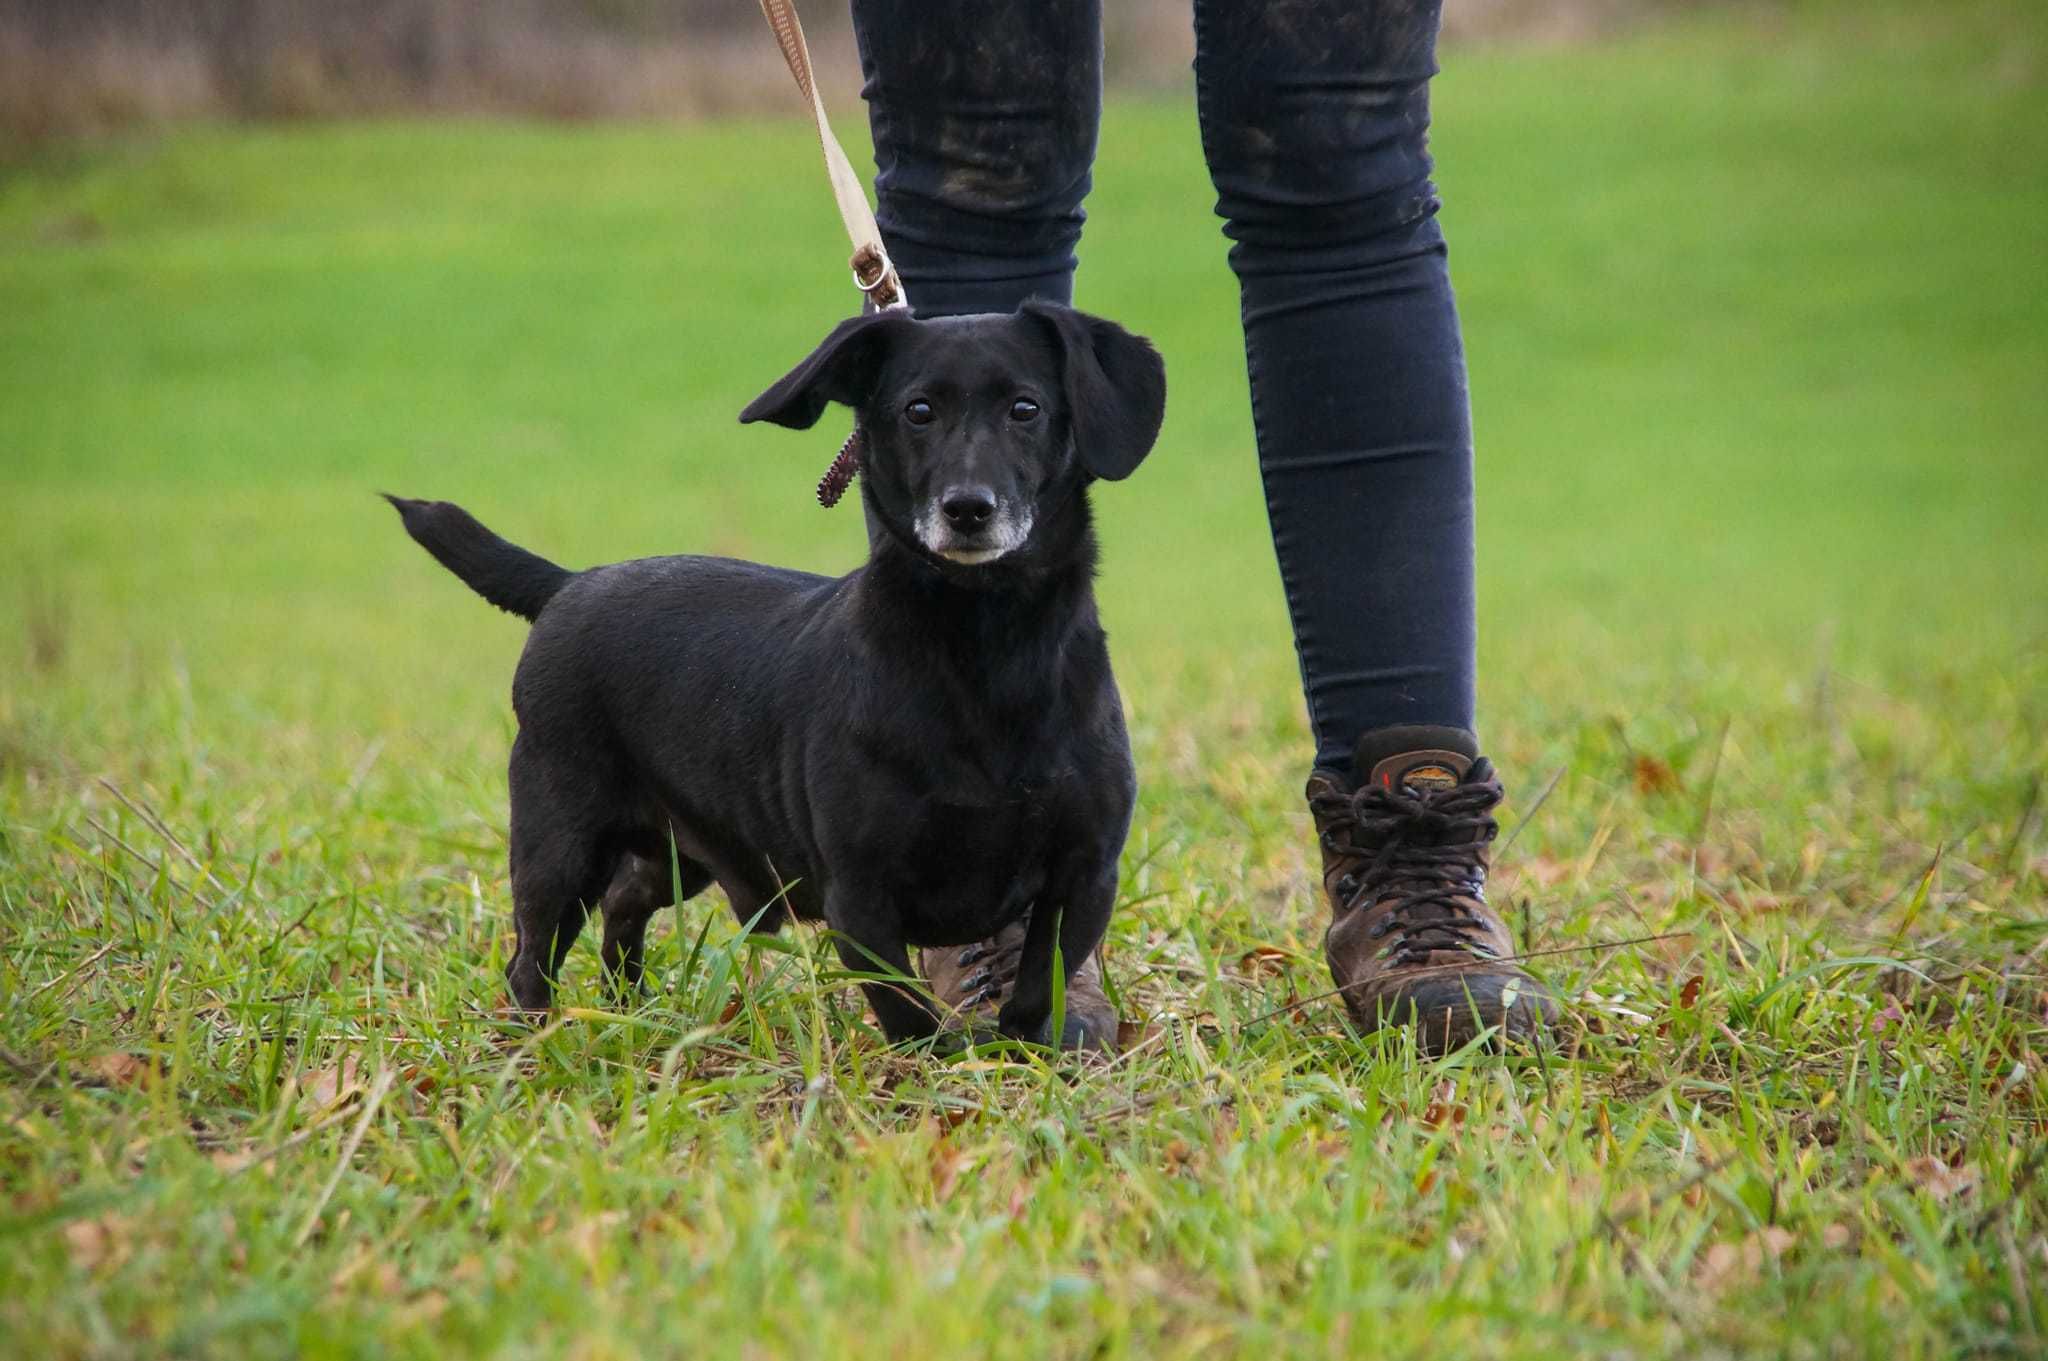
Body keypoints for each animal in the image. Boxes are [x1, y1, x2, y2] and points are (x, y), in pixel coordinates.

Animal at [391, 302, 1163, 1043]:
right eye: (918, 410)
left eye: (1025, 408)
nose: (968, 508)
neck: (984, 651)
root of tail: (569, 584)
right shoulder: (862, 896)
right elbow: (909, 1013)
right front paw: (943, 1063)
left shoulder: (1084, 874)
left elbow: (1040, 982)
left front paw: (1029, 1046)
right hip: (559, 842)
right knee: (532, 957)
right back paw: (537, 1038)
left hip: (672, 852)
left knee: (625, 905)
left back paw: (628, 1008)